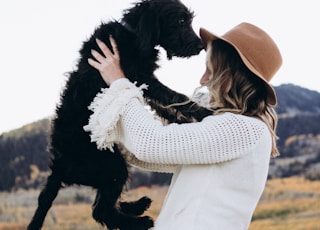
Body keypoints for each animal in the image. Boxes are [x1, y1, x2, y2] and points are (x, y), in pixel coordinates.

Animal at [28, 0, 212, 229]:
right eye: (180, 21)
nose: (200, 46)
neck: (132, 33)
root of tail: (58, 169)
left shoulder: (142, 83)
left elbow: (165, 106)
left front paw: (182, 122)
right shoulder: (143, 78)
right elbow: (175, 97)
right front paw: (205, 112)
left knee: (105, 206)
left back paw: (137, 206)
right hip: (113, 166)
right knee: (101, 211)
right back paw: (140, 221)